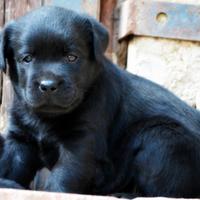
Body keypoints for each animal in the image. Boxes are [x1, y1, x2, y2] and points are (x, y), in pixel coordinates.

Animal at [0, 5, 200, 198]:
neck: (46, 118)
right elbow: (11, 164)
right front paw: (7, 183)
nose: (48, 85)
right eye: (27, 59)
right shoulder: (20, 139)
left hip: (160, 137)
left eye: (71, 57)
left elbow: (64, 174)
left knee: (168, 192)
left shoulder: (81, 141)